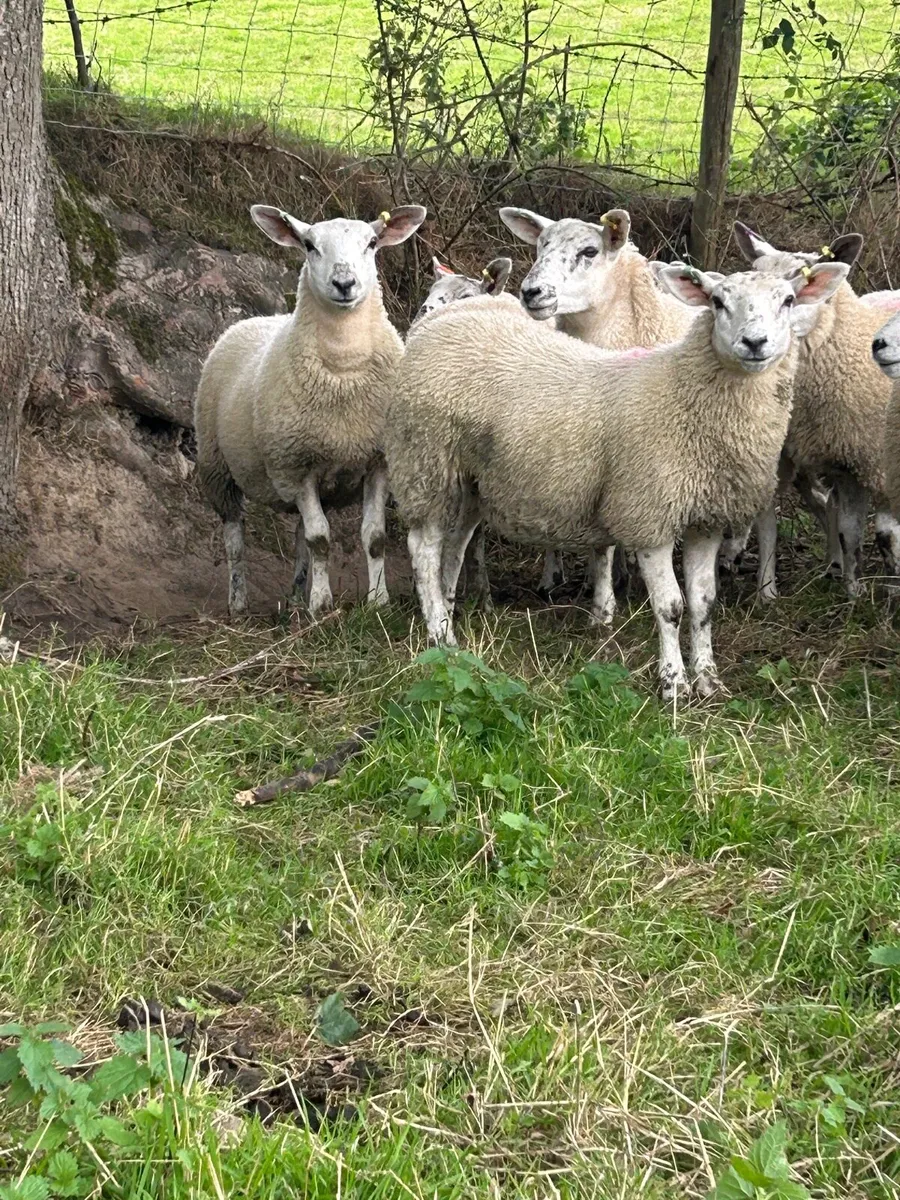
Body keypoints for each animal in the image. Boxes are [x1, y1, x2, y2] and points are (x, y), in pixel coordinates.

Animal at [195, 203, 426, 617]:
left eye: (372, 243)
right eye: (309, 246)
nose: (345, 283)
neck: (344, 370)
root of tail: (260, 318)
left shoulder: (377, 462)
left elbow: (373, 537)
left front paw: (377, 601)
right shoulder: (295, 464)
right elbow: (321, 539)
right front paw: (322, 604)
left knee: (301, 534)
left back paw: (295, 597)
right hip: (216, 466)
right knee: (235, 538)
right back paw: (239, 604)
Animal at [386, 263, 848, 699]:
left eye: (788, 300)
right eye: (717, 302)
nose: (755, 343)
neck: (685, 395)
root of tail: (437, 322)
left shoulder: (705, 519)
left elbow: (703, 605)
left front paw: (709, 681)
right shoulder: (648, 513)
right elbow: (670, 607)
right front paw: (673, 685)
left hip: (470, 477)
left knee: (455, 543)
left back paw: (449, 616)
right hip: (425, 458)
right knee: (423, 547)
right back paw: (439, 633)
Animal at [732, 222, 900, 599]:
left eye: (798, 288)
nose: (755, 339)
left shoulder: (873, 464)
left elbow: (882, 533)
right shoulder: (829, 461)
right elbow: (845, 531)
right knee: (826, 505)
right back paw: (834, 565)